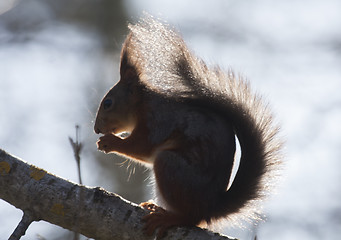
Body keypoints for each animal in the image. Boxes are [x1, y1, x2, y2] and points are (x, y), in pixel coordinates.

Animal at [93, 15, 282, 238]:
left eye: (108, 103)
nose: (96, 129)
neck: (142, 105)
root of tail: (211, 207)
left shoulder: (157, 121)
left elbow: (142, 147)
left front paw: (110, 142)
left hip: (171, 167)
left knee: (192, 218)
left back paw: (168, 217)